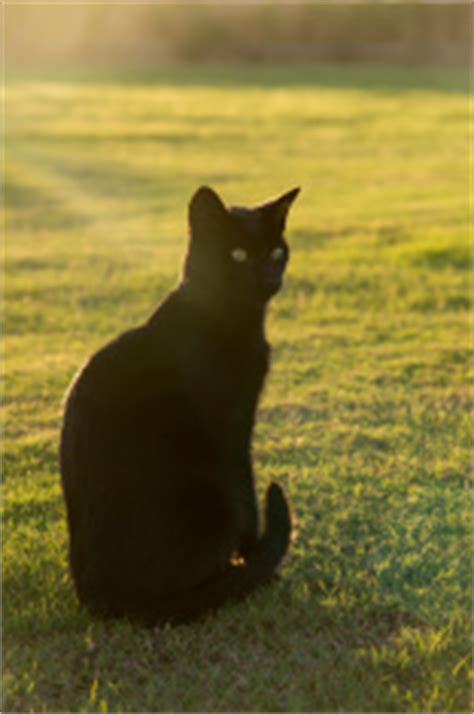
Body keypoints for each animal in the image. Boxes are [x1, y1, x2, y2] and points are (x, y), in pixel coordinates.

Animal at [60, 184, 300, 624]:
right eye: (237, 255)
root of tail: (101, 598)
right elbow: (248, 500)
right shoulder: (233, 433)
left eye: (277, 252)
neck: (228, 316)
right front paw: (254, 559)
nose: (269, 278)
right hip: (213, 497)